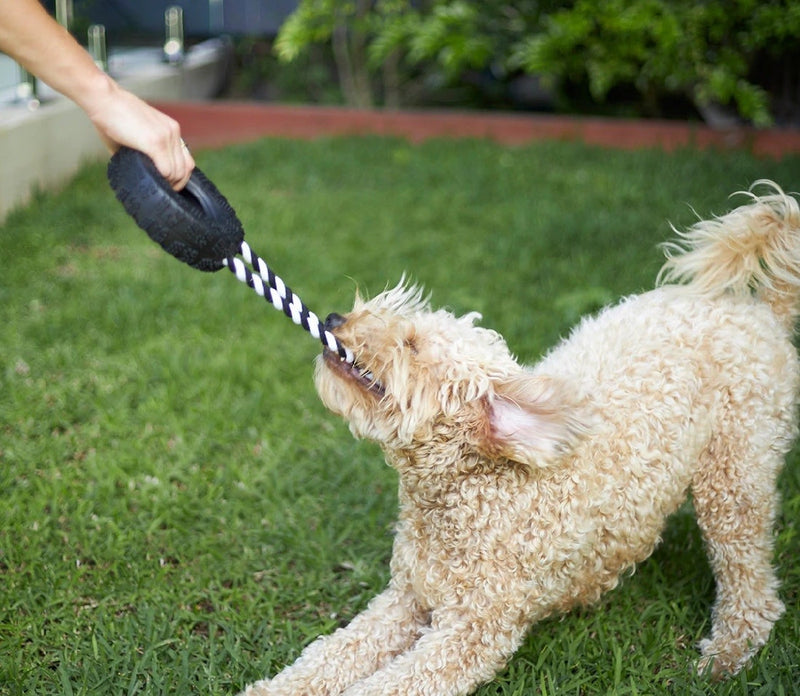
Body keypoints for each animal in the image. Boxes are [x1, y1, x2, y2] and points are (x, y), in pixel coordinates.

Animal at [244, 182, 800, 692]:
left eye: (411, 344)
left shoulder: (472, 631)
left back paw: (728, 653)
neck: (473, 490)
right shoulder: (406, 600)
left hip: (735, 472)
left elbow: (393, 682)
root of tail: (760, 311)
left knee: (751, 582)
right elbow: (329, 656)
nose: (334, 318)